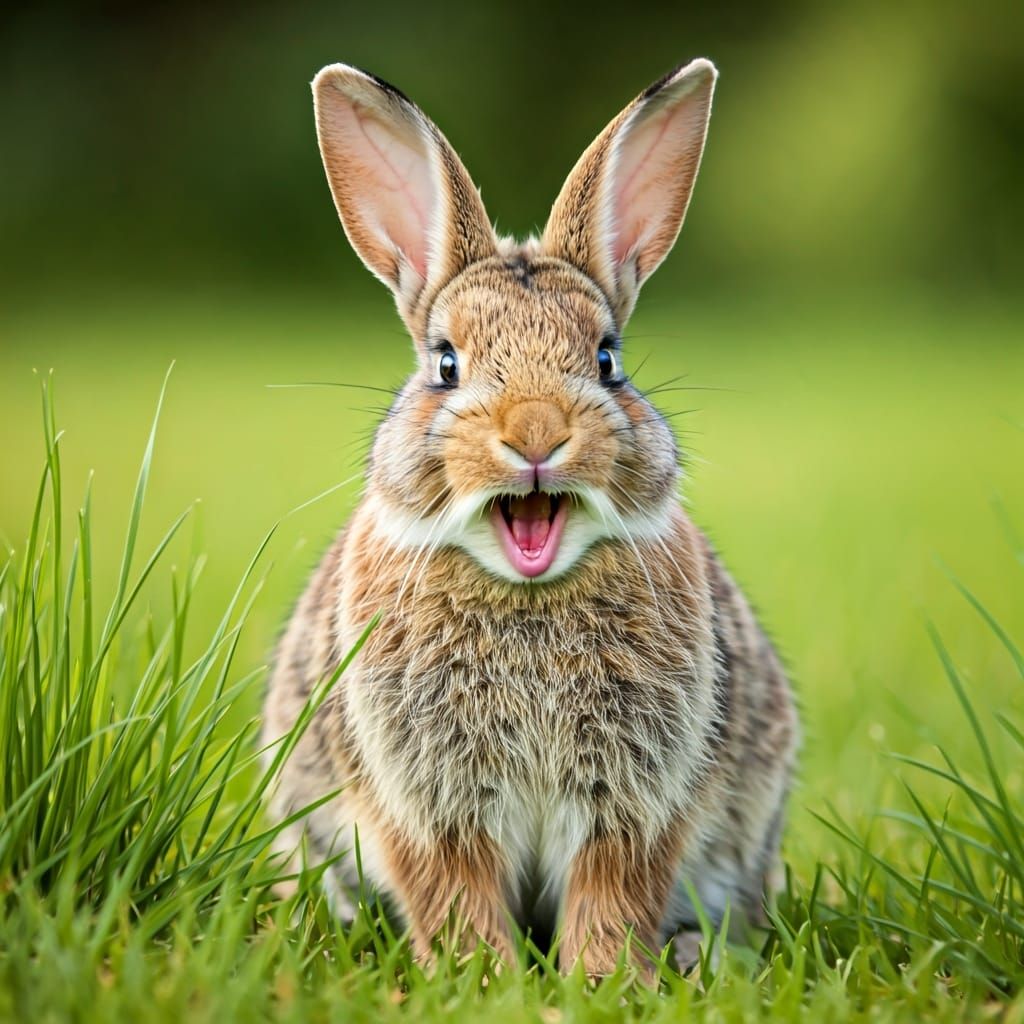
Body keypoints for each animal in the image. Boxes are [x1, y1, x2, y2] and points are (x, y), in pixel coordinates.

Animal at [262, 58, 799, 977]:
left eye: (608, 360)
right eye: (445, 364)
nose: (538, 433)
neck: (527, 591)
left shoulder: (635, 802)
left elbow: (613, 896)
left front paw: (601, 981)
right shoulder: (427, 803)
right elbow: (454, 892)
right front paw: (481, 977)